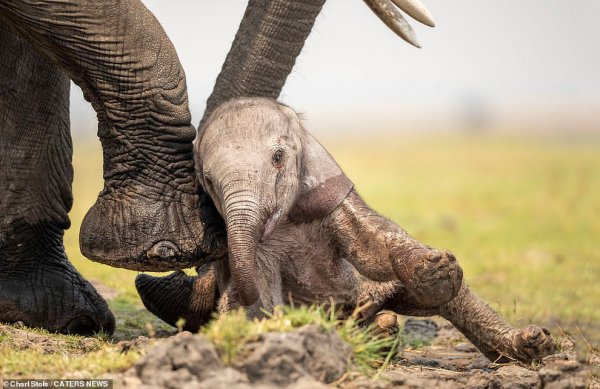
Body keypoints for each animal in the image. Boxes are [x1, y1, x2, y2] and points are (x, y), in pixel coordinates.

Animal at [136, 98, 552, 364]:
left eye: (278, 158)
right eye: (207, 179)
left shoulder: (330, 194)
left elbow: (374, 245)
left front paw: (436, 265)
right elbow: (264, 296)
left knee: (453, 301)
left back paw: (533, 347)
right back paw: (378, 331)